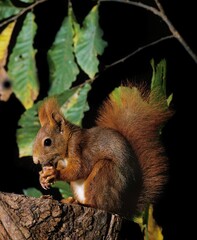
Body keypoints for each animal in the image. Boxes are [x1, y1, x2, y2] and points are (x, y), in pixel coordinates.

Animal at [32, 84, 172, 219]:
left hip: (104, 172)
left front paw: (53, 173)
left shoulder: (79, 148)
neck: (68, 141)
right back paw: (70, 200)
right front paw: (42, 177)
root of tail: (125, 206)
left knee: (100, 205)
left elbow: (79, 169)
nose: (35, 160)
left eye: (47, 142)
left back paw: (82, 203)